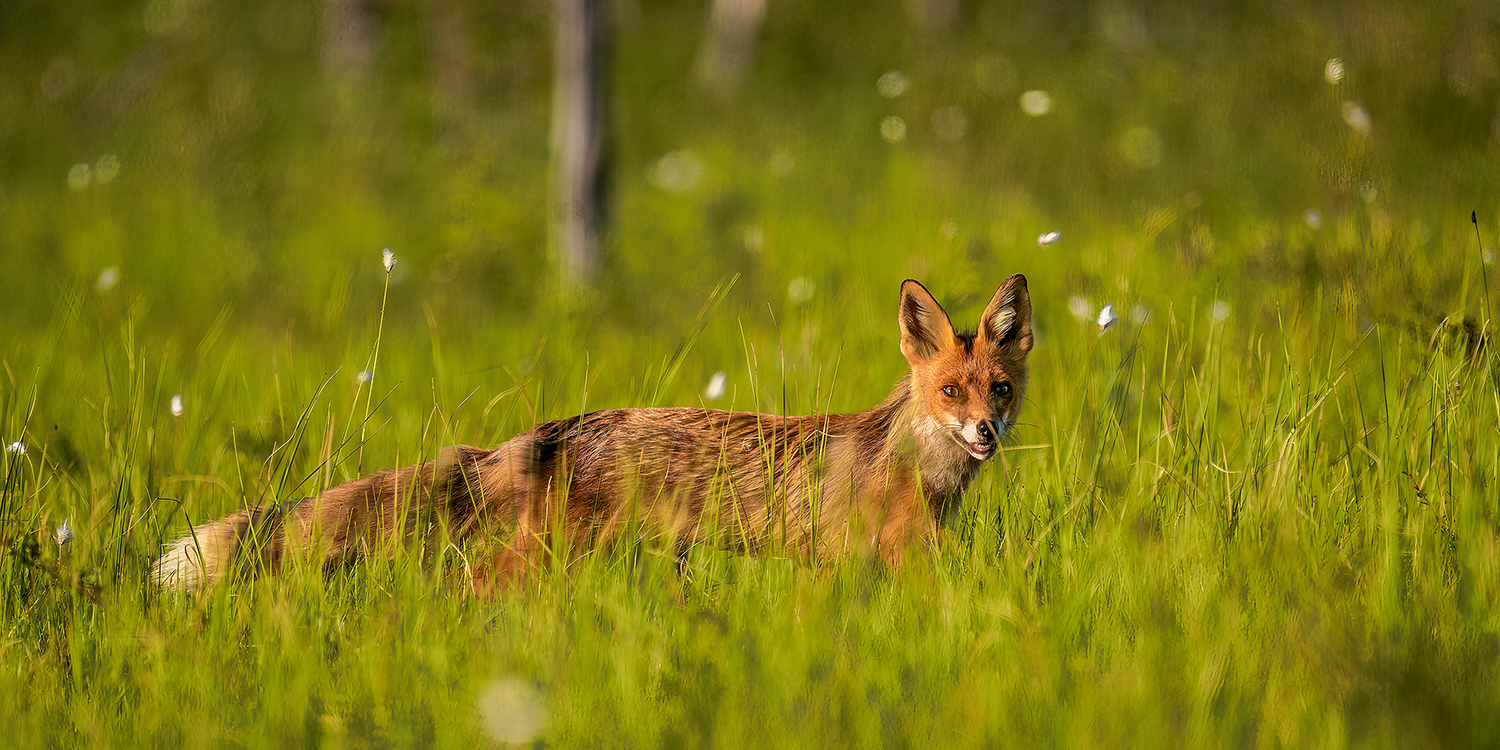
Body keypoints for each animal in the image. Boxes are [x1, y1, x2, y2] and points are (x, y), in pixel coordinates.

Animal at [152, 276, 1032, 591]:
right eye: (949, 391)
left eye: (1000, 387)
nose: (984, 432)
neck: (913, 465)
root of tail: (555, 427)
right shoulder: (882, 557)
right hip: (552, 551)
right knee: (466, 585)